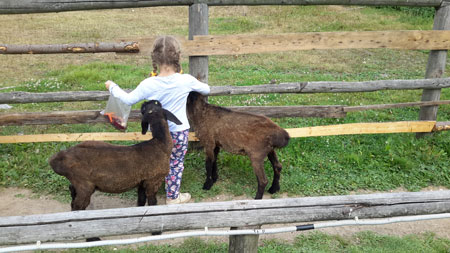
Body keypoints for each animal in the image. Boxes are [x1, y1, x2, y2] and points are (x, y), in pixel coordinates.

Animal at [49, 100, 181, 211]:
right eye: (144, 108)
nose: (144, 102)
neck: (160, 143)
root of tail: (56, 159)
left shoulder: (142, 182)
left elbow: (141, 202)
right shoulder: (153, 180)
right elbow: (153, 203)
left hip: (77, 184)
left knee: (72, 195)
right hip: (84, 186)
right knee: (77, 206)